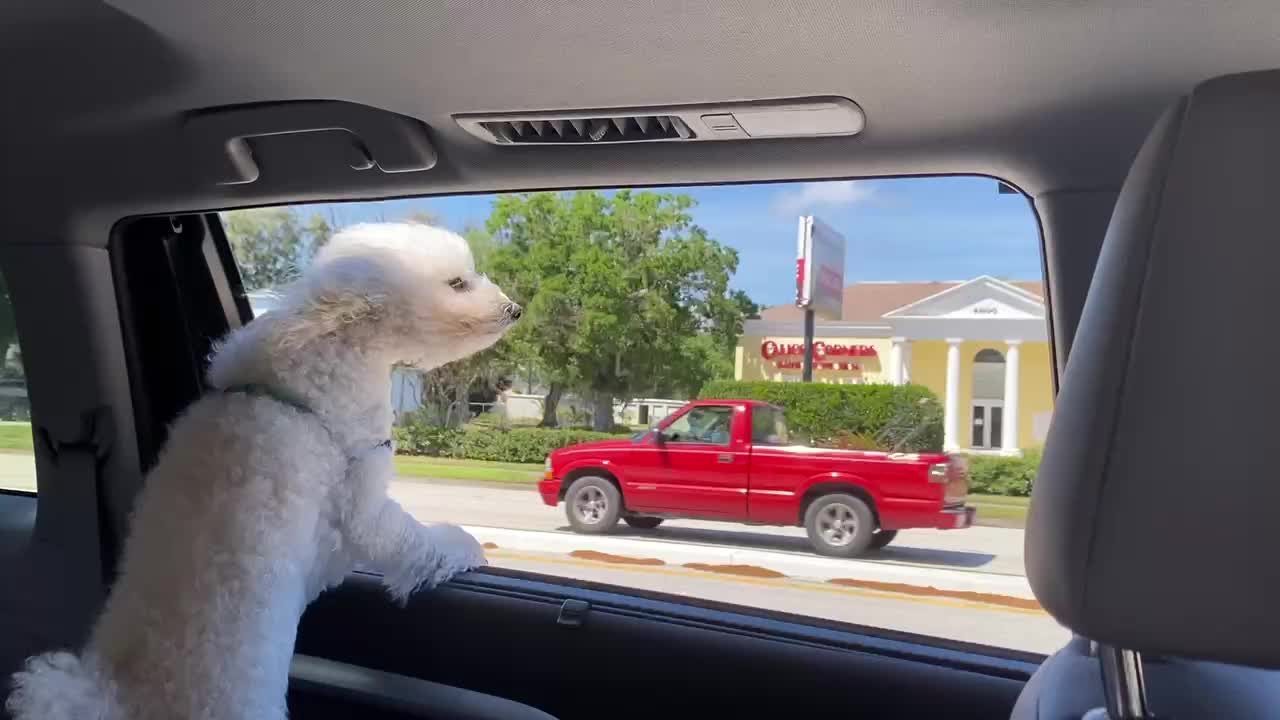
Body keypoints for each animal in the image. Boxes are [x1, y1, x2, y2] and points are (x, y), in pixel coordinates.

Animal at [10, 221, 519, 712]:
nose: (514, 309)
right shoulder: (360, 500)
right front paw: (463, 546)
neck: (324, 349)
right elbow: (412, 540)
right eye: (457, 283)